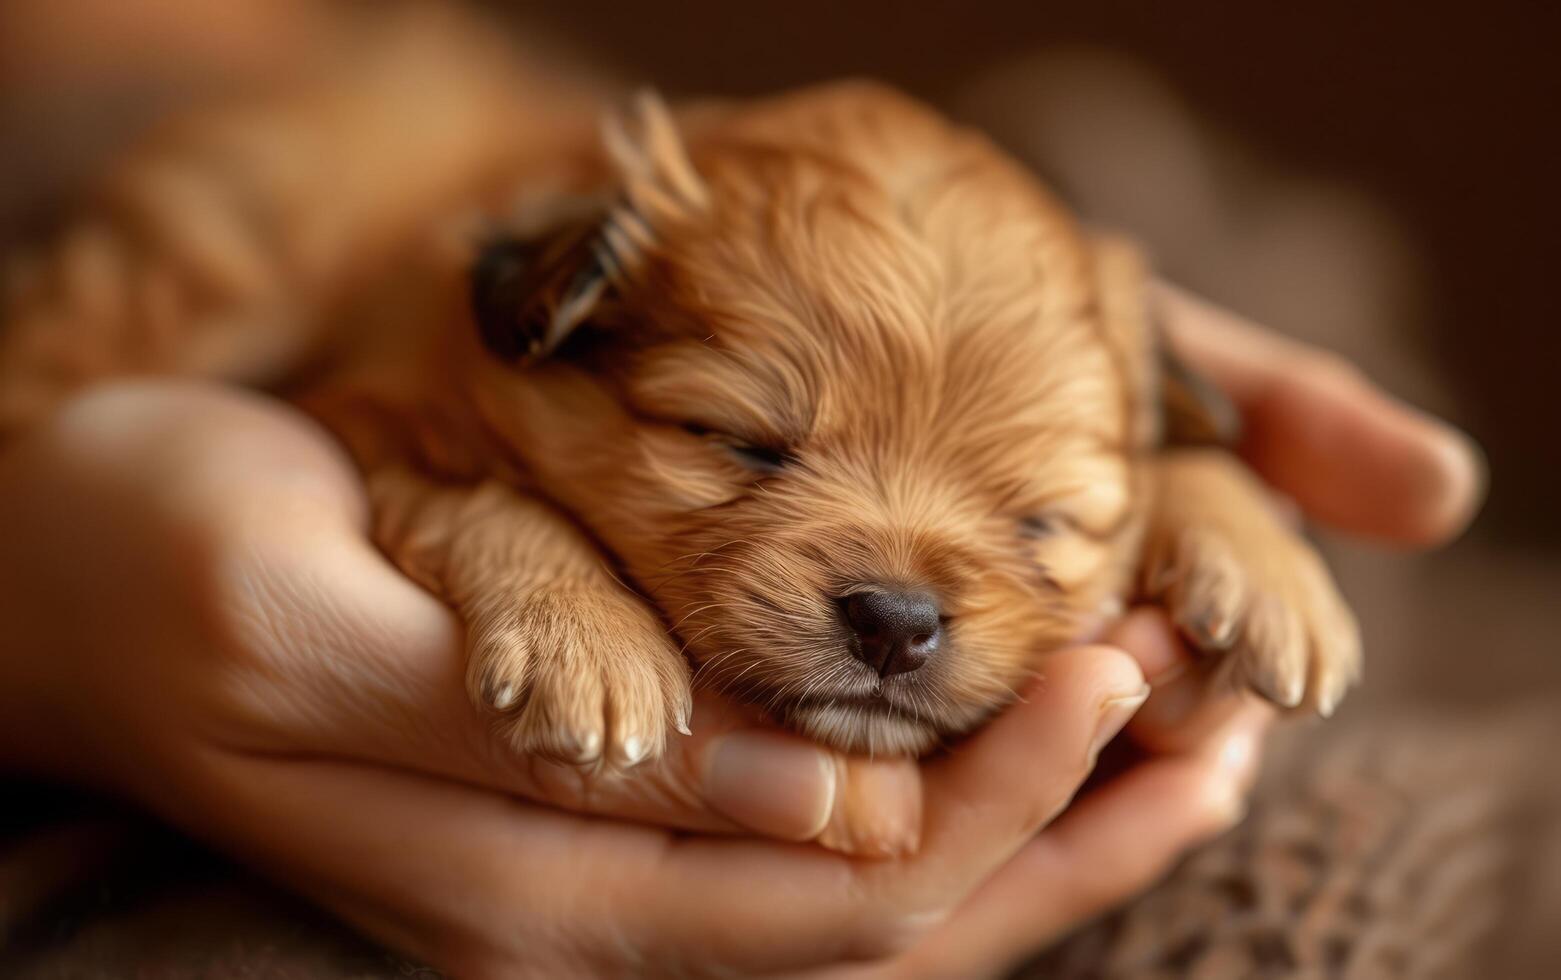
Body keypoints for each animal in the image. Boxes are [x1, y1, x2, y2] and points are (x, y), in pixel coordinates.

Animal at [0, 42, 1354, 764]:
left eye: (1042, 523)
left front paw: (1272, 574)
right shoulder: (377, 415)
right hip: (213, 260)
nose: (896, 619)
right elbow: (492, 495)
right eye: (738, 443)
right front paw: (589, 645)